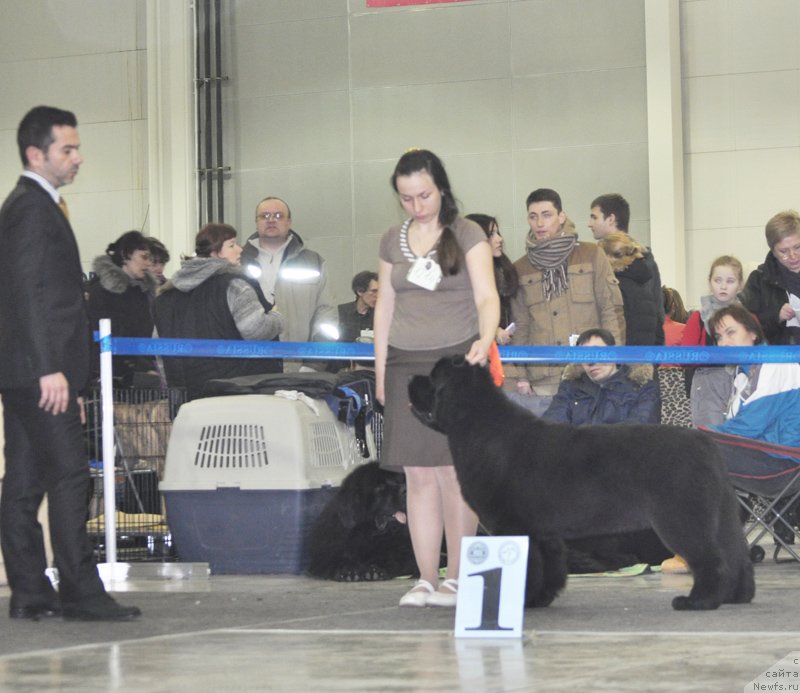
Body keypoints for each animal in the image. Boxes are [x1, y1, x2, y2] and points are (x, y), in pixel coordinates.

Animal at [410, 356, 752, 612]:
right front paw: (539, 599)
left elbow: (528, 568)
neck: (479, 425)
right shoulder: (545, 534)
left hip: (682, 518)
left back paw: (698, 601)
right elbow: (549, 569)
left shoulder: (515, 526)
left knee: (710, 559)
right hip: (720, 516)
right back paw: (737, 596)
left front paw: (521, 602)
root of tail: (706, 444)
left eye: (433, 379)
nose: (411, 378)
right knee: (736, 554)